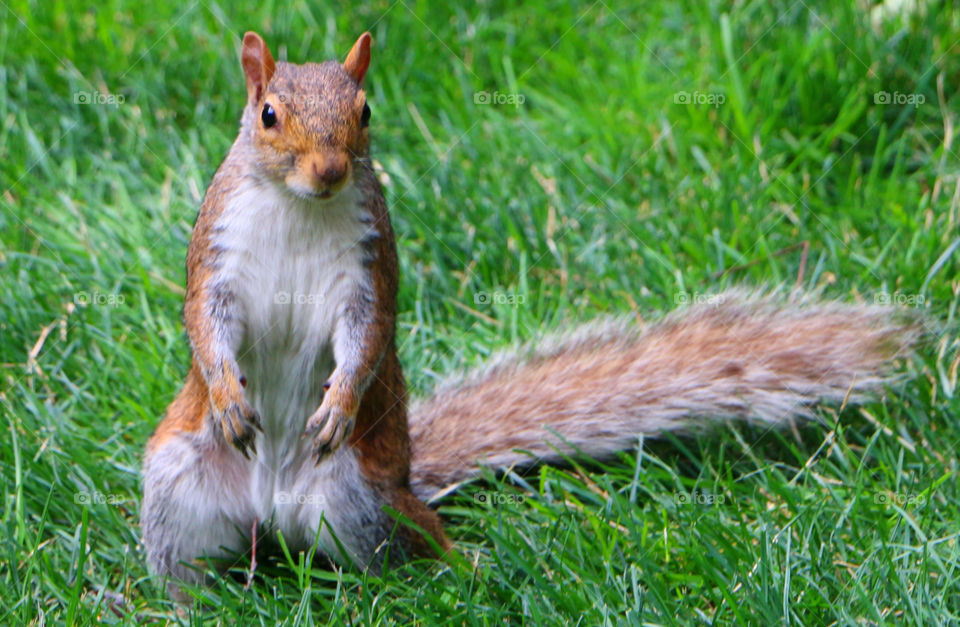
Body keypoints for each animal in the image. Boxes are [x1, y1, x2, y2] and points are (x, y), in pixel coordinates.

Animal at [141, 31, 921, 601]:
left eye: (364, 113)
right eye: (268, 115)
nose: (330, 171)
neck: (300, 206)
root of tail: (273, 517)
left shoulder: (368, 271)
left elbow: (366, 340)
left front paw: (338, 404)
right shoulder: (216, 258)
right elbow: (206, 325)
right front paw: (230, 395)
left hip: (360, 502)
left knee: (405, 558)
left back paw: (464, 570)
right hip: (180, 484)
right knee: (190, 569)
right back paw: (179, 602)